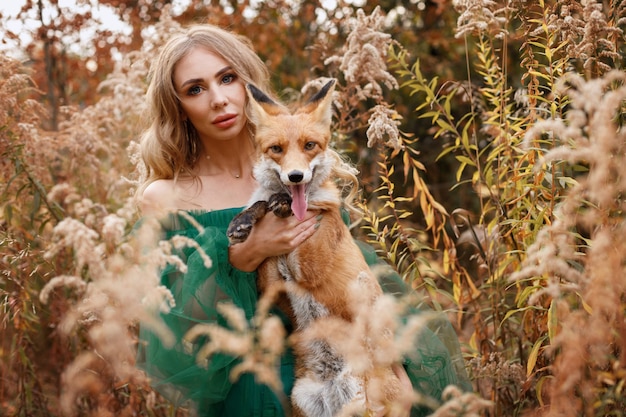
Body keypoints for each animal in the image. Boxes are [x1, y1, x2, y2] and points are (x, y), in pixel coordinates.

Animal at [228, 79, 400, 414]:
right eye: (276, 149)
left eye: (310, 146)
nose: (295, 176)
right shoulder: (272, 284)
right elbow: (260, 205)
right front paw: (245, 220)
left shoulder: (310, 265)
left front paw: (277, 204)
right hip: (302, 402)